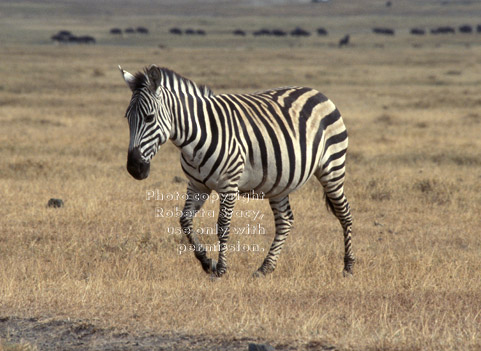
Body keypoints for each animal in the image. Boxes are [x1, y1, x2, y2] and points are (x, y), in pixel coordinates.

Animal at [118, 64, 354, 280]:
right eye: (127, 117)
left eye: (149, 117)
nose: (134, 168)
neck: (195, 138)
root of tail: (317, 92)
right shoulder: (197, 185)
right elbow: (185, 221)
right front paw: (206, 262)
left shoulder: (228, 185)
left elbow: (223, 225)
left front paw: (221, 269)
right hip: (280, 182)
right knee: (285, 221)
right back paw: (265, 268)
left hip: (332, 168)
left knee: (344, 213)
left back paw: (348, 266)